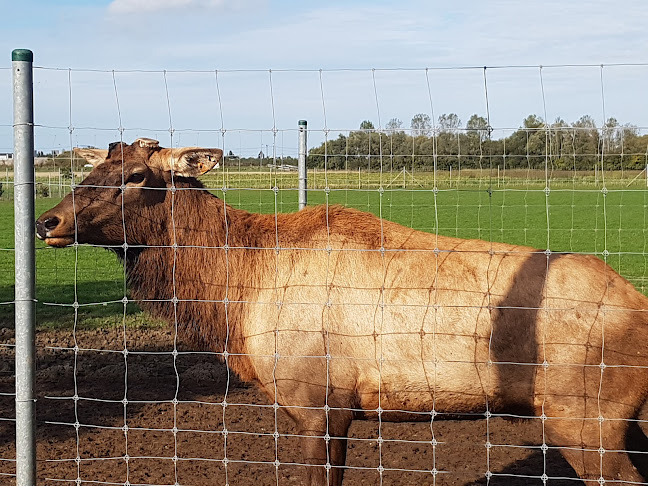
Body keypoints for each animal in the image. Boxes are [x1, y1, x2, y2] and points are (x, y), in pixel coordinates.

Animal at [36, 139, 648, 484]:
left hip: (585, 419)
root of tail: (640, 306)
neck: (234, 299)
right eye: (89, 171)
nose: (48, 221)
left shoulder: (317, 401)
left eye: (137, 176)